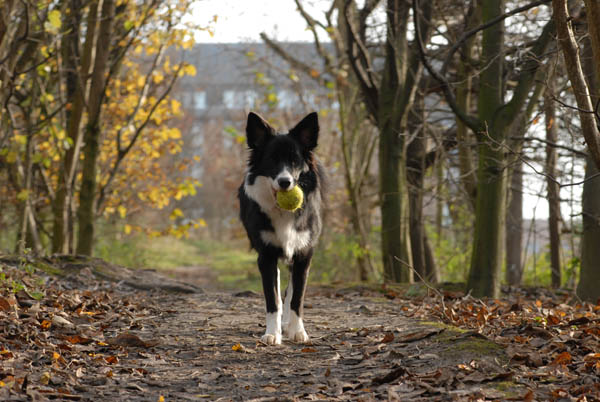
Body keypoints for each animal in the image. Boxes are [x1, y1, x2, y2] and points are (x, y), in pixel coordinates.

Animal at [238, 112, 324, 346]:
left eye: (295, 161)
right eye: (272, 160)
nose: (285, 182)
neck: (283, 212)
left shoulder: (304, 253)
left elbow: (297, 297)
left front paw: (297, 330)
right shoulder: (266, 255)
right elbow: (272, 299)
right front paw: (272, 333)